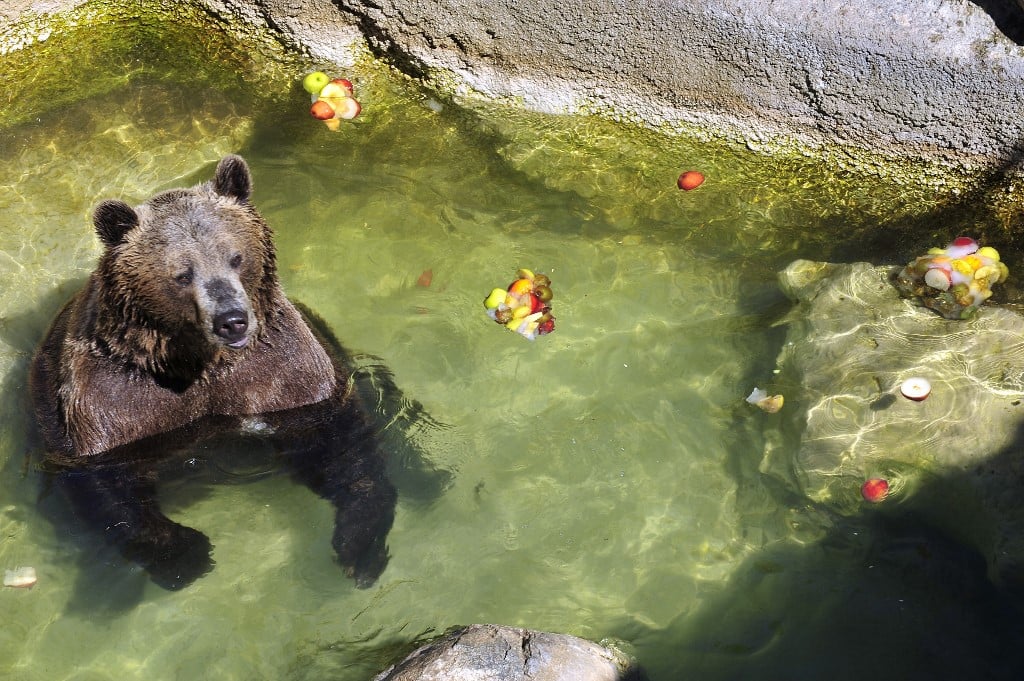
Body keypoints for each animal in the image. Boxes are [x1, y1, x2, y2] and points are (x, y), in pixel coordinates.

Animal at [29, 153, 397, 589]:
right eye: (182, 274)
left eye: (235, 256)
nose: (232, 320)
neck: (199, 361)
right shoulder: (116, 402)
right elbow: (106, 485)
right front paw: (184, 550)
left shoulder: (284, 373)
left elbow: (340, 443)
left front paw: (360, 543)